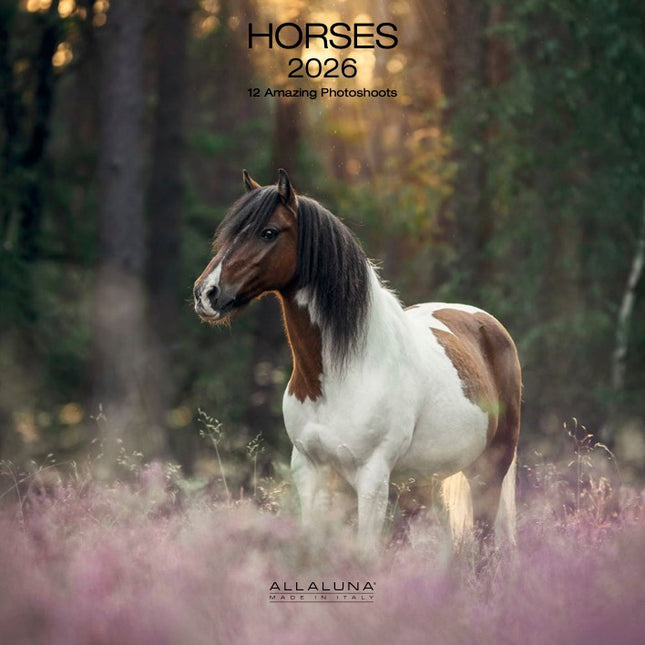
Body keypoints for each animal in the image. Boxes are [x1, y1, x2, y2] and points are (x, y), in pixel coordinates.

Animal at [193, 169, 522, 553]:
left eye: (269, 232)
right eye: (231, 232)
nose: (206, 293)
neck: (341, 374)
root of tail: (487, 324)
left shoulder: (372, 478)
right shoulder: (311, 473)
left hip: (489, 470)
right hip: (425, 480)